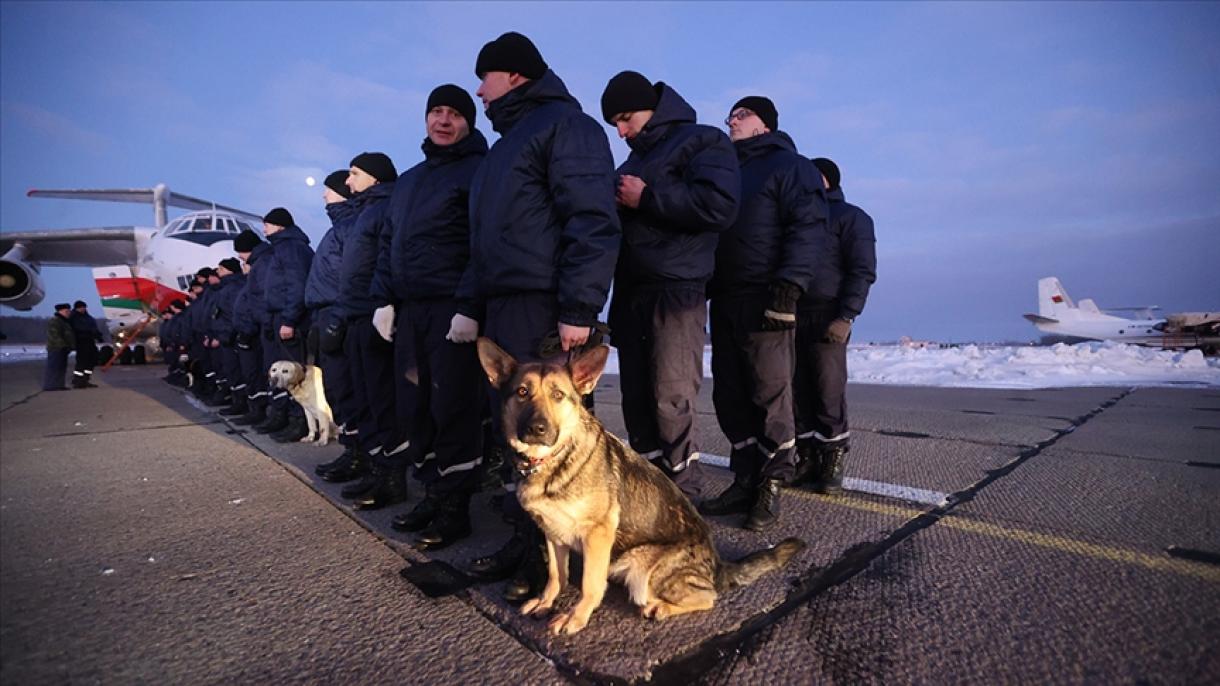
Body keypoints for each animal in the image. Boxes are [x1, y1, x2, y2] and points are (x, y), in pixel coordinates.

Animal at [475, 339, 810, 634]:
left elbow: (589, 585)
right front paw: (546, 602)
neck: (550, 461)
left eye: (558, 395)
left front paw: (576, 617)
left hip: (645, 575)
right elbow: (556, 576)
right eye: (522, 392)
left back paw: (661, 607)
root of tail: (716, 565)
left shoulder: (598, 534)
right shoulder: (553, 534)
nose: (538, 429)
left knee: (708, 597)